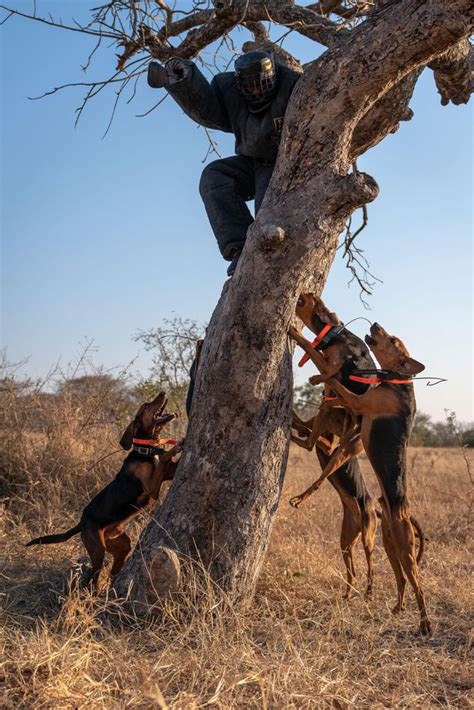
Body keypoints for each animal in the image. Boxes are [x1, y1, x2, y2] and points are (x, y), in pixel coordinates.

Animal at [26, 392, 181, 592]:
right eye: (146, 406)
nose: (162, 393)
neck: (144, 451)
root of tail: (81, 523)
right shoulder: (151, 489)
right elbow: (163, 459)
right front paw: (174, 447)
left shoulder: (168, 474)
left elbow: (167, 463)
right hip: (97, 549)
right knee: (93, 576)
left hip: (121, 545)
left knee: (114, 568)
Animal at [292, 320, 430, 636]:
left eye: (393, 340)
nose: (375, 324)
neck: (399, 383)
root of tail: (402, 510)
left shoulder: (356, 401)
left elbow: (328, 372)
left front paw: (301, 341)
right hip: (390, 543)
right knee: (400, 579)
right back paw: (397, 607)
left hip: (402, 547)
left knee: (416, 585)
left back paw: (424, 623)